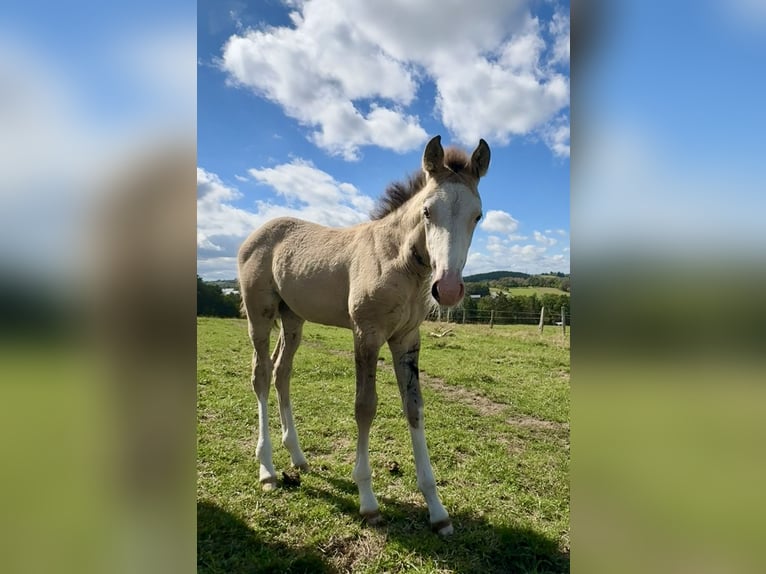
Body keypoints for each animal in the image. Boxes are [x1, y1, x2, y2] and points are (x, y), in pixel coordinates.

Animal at [237, 135, 490, 535]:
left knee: (281, 373)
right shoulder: (366, 334)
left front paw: (437, 510)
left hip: (293, 320)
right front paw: (368, 502)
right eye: (427, 211)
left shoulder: (407, 339)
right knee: (261, 376)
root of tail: (254, 234)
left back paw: (298, 457)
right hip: (259, 317)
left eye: (477, 215)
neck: (398, 261)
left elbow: (414, 409)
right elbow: (365, 407)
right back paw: (267, 470)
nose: (447, 289)